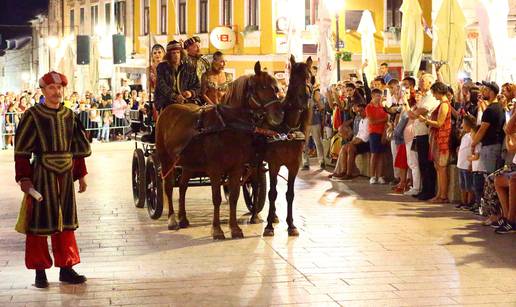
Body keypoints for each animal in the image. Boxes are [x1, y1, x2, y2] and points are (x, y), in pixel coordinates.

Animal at [155, 62, 282, 241]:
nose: (279, 114)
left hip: (188, 164)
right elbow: (216, 198)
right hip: (166, 159)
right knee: (168, 186)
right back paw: (172, 220)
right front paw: (217, 230)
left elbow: (234, 196)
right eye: (262, 87)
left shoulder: (236, 168)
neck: (228, 124)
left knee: (182, 187)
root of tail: (169, 109)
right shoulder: (215, 170)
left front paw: (235, 228)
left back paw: (183, 218)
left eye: (275, 87)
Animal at [260, 55, 312, 237]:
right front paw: (268, 225)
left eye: (309, 76)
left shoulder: (294, 165)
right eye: (293, 78)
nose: (305, 98)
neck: (288, 129)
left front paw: (291, 225)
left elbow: (290, 194)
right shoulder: (274, 164)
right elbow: (272, 193)